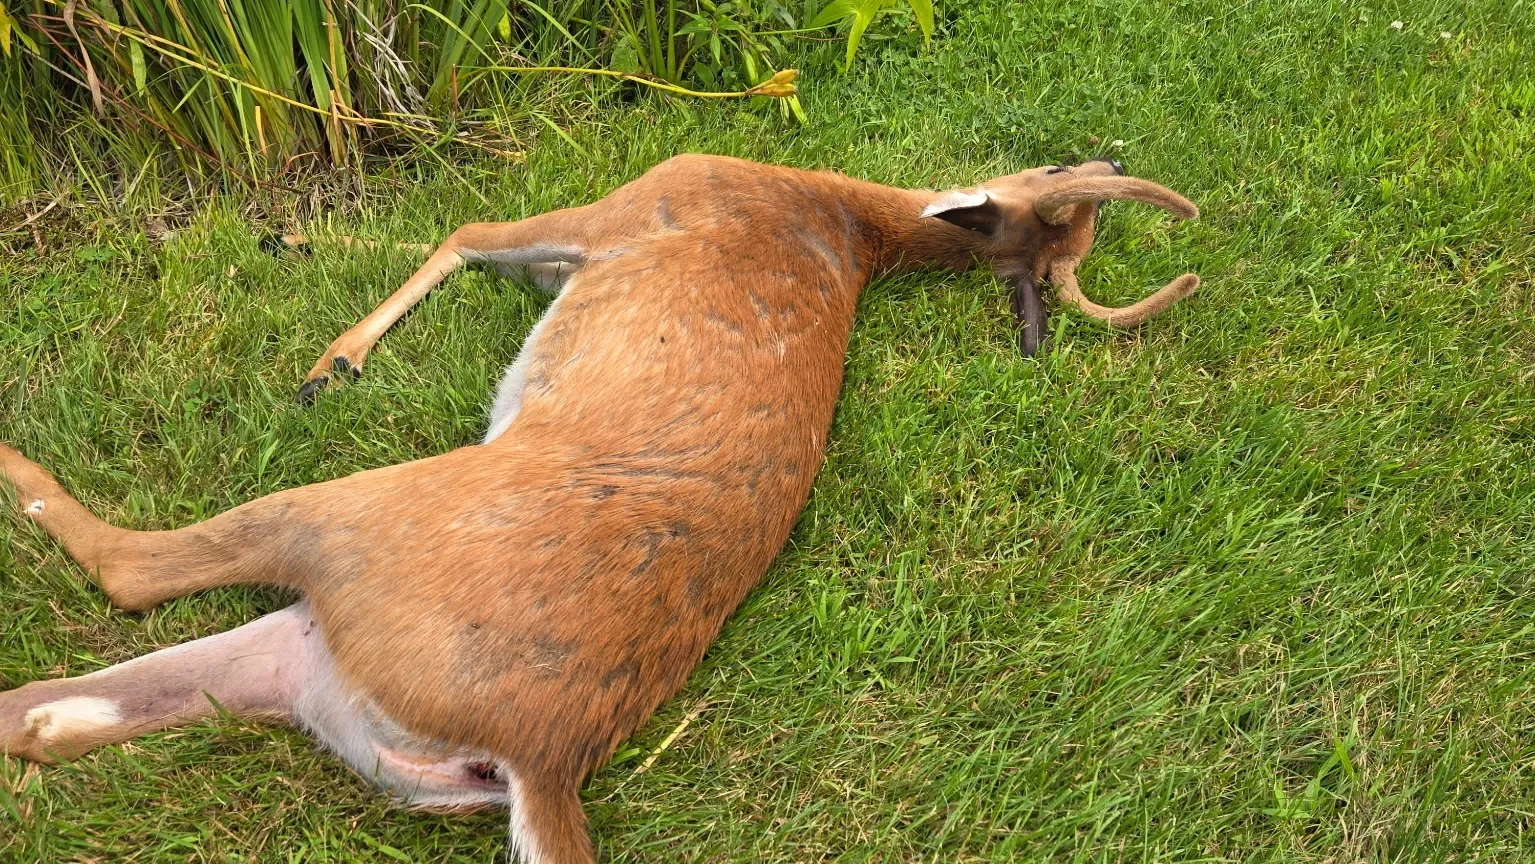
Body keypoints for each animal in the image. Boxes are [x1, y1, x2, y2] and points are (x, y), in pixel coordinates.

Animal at [0, 154, 1198, 863]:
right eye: (1062, 170)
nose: (1111, 153)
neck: (840, 216)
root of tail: (543, 758)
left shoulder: (635, 203)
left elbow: (465, 223)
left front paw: (325, 344)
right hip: (306, 670)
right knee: (52, 717)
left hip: (351, 530)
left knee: (126, 577)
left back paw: (22, 465)